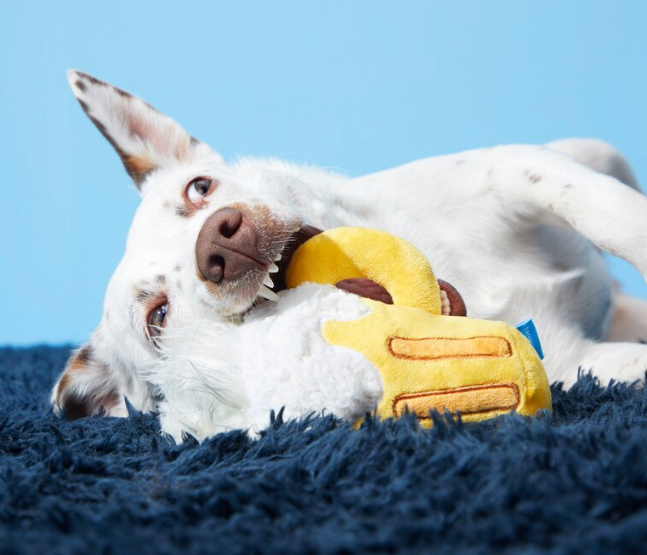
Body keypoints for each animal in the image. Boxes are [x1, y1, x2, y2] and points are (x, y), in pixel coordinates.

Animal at [53, 70, 647, 434]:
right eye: (158, 320)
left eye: (199, 189)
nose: (219, 240)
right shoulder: (574, 362)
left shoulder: (520, 169)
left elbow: (609, 208)